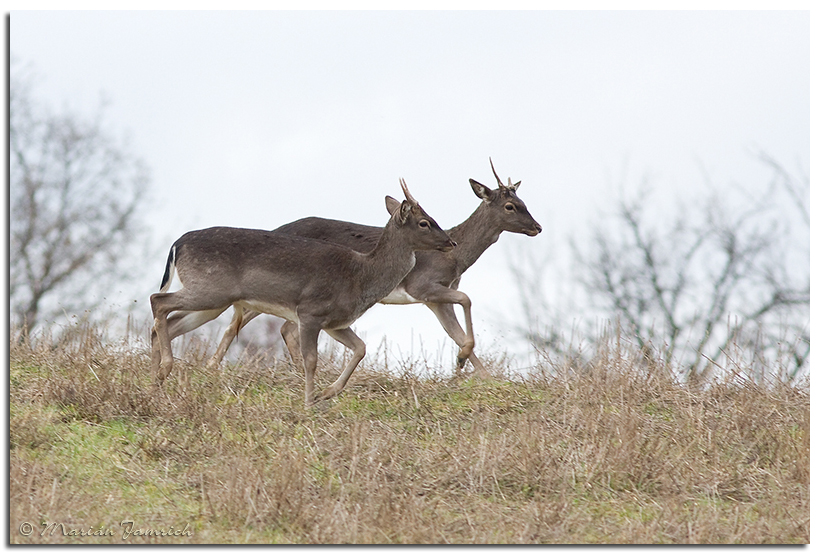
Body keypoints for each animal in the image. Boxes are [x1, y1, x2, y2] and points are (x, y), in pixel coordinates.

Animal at [149, 180, 454, 406]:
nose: (451, 242)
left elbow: (361, 348)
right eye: (424, 222)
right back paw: (164, 368)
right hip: (210, 289)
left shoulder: (335, 322)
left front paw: (328, 392)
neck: (361, 276)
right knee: (158, 300)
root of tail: (177, 244)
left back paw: (155, 380)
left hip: (212, 298)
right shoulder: (310, 311)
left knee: (167, 320)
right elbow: (311, 360)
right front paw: (309, 402)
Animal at [205, 160, 540, 376]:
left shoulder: (436, 296)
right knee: (246, 320)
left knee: (275, 324)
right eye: (510, 206)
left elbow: (455, 332)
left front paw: (475, 374)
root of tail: (276, 229)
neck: (457, 259)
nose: (537, 227)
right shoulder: (424, 286)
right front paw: (465, 365)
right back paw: (213, 365)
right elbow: (465, 309)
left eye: (524, 201)